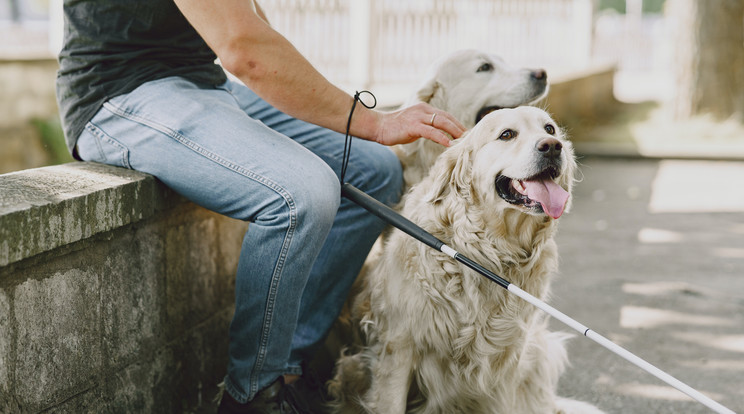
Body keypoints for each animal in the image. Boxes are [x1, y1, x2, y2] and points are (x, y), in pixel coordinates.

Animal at [330, 107, 604, 414]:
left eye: (550, 129)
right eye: (506, 134)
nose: (553, 146)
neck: (489, 251)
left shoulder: (507, 359)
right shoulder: (397, 345)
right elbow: (391, 402)